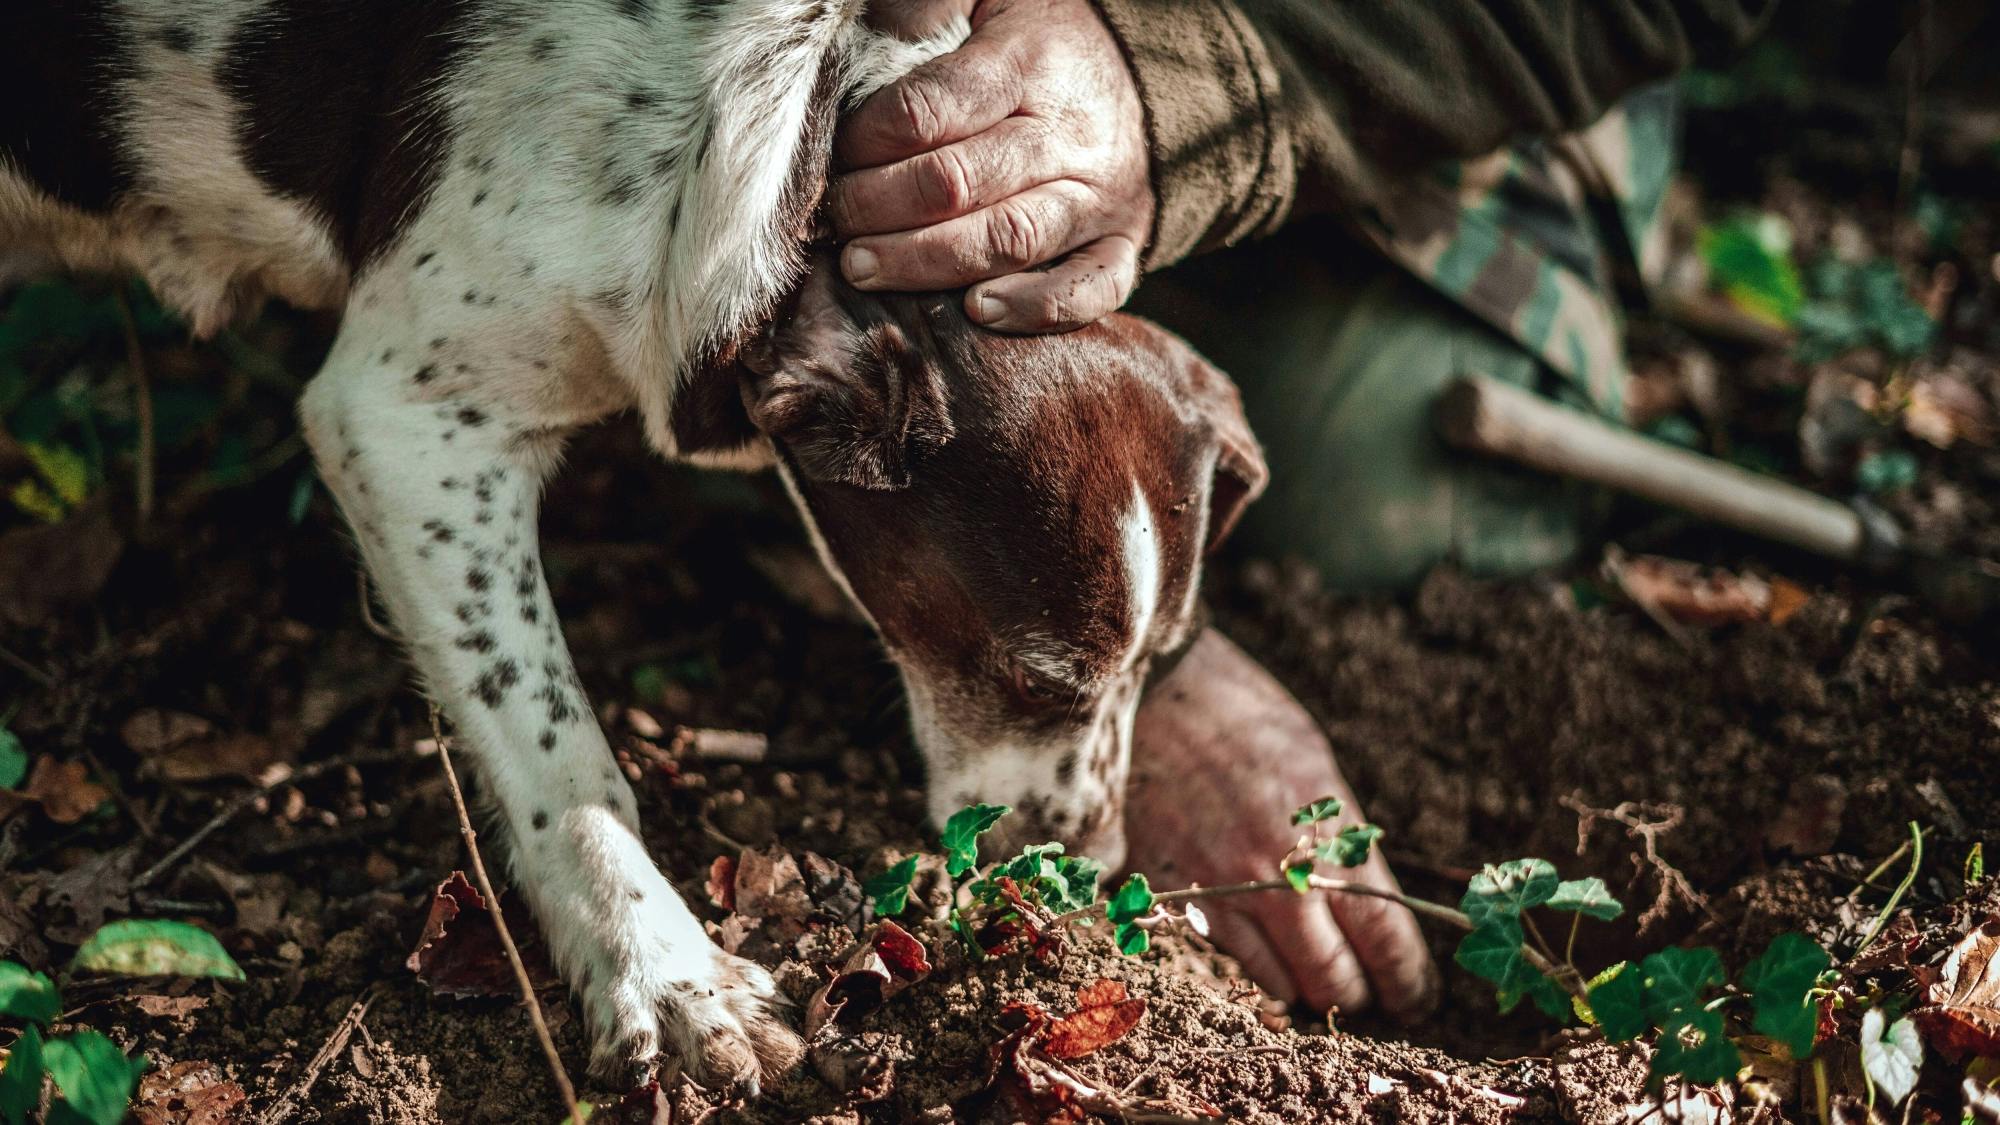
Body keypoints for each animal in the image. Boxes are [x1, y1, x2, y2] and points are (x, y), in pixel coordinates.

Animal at [3, 0, 1264, 1088]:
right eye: (1033, 680)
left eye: (1163, 663)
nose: (1091, 867)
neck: (786, 146)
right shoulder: (406, 420)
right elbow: (561, 750)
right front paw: (665, 972)